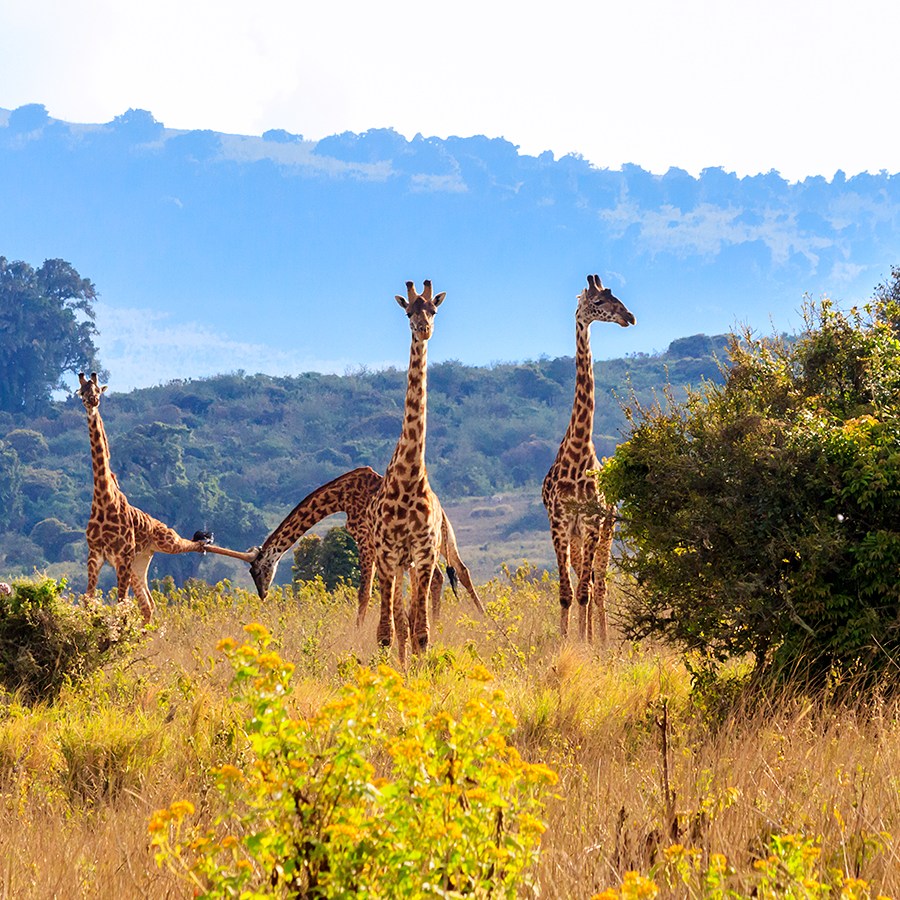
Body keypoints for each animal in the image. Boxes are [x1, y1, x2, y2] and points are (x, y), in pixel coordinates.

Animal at [77, 372, 254, 620]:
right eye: (81, 391)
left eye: (98, 391)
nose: (91, 402)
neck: (104, 500)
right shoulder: (95, 555)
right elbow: (89, 601)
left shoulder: (122, 557)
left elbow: (121, 605)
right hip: (140, 561)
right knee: (148, 605)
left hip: (163, 544)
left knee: (193, 546)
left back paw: (243, 551)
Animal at [247, 466, 484, 624]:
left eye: (257, 571)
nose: (262, 594)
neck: (341, 498)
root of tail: (440, 513)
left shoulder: (365, 541)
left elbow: (364, 593)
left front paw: (358, 630)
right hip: (445, 541)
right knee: (459, 571)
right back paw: (480, 617)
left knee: (438, 576)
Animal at [542, 275, 635, 641]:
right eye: (597, 303)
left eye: (616, 297)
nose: (629, 317)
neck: (578, 452)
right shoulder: (560, 523)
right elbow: (565, 594)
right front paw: (565, 642)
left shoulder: (592, 523)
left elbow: (582, 592)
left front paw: (585, 645)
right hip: (578, 537)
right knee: (589, 584)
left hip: (604, 531)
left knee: (598, 587)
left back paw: (602, 642)